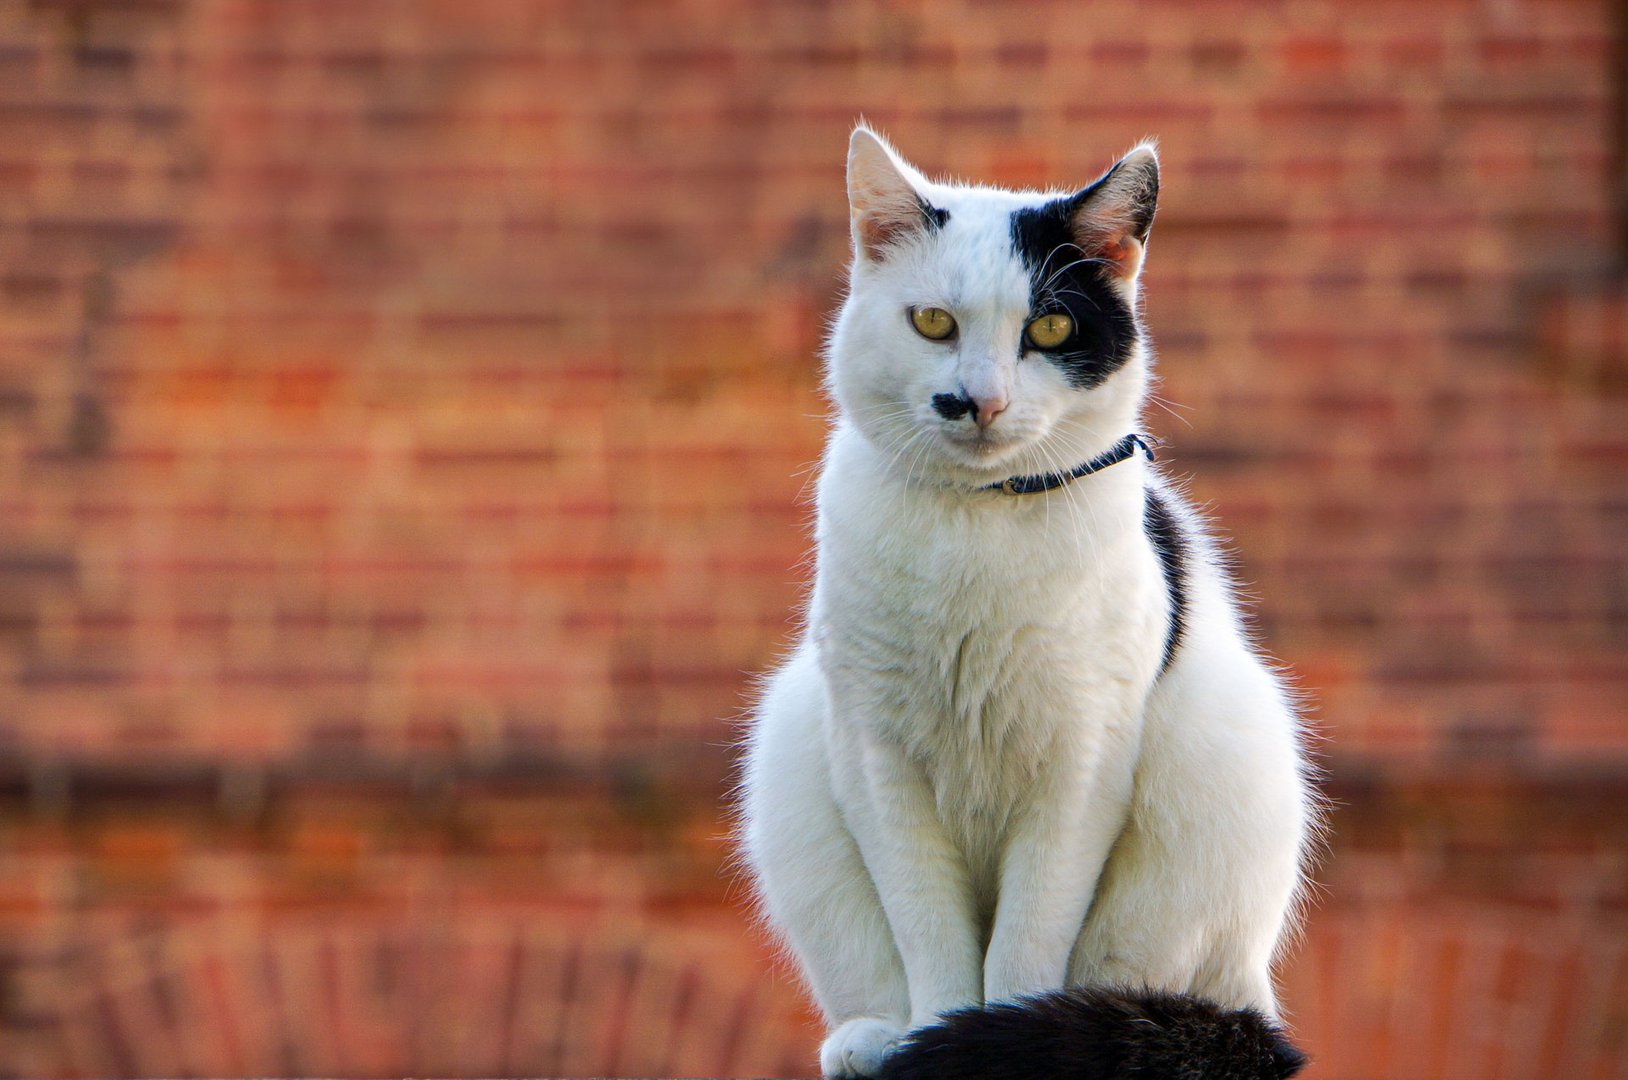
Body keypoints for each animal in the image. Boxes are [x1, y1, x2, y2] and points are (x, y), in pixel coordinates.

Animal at [739, 128, 1321, 1080]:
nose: (978, 400)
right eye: (933, 323)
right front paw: (935, 1035)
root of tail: (1255, 996)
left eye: (1050, 327)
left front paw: (987, 1038)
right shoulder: (879, 760)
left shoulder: (1078, 770)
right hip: (793, 740)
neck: (979, 528)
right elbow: (930, 936)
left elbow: (1023, 947)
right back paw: (876, 1039)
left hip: (1219, 762)